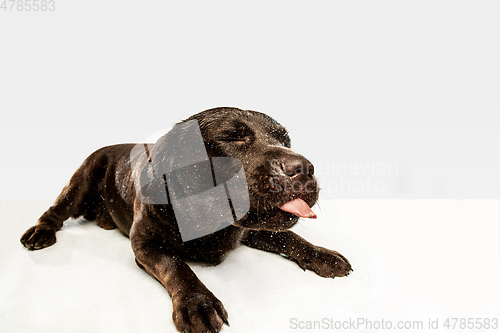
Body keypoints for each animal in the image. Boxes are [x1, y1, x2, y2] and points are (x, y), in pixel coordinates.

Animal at [20, 107, 352, 330]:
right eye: (232, 137)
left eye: (285, 140)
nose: (303, 168)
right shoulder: (146, 244)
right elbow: (176, 266)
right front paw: (197, 302)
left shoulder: (251, 229)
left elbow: (290, 237)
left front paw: (322, 254)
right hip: (82, 178)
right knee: (55, 211)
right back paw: (40, 233)